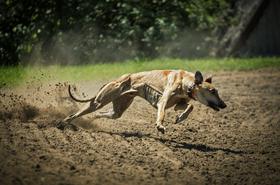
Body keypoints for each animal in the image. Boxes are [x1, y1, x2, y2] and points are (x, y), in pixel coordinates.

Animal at [60, 69, 226, 133]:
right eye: (213, 91)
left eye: (217, 91)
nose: (224, 105)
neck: (186, 82)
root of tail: (116, 79)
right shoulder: (162, 102)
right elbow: (162, 114)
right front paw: (160, 126)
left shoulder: (178, 103)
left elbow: (190, 106)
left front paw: (180, 118)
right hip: (99, 101)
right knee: (76, 114)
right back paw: (63, 122)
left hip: (117, 109)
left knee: (103, 114)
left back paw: (90, 120)